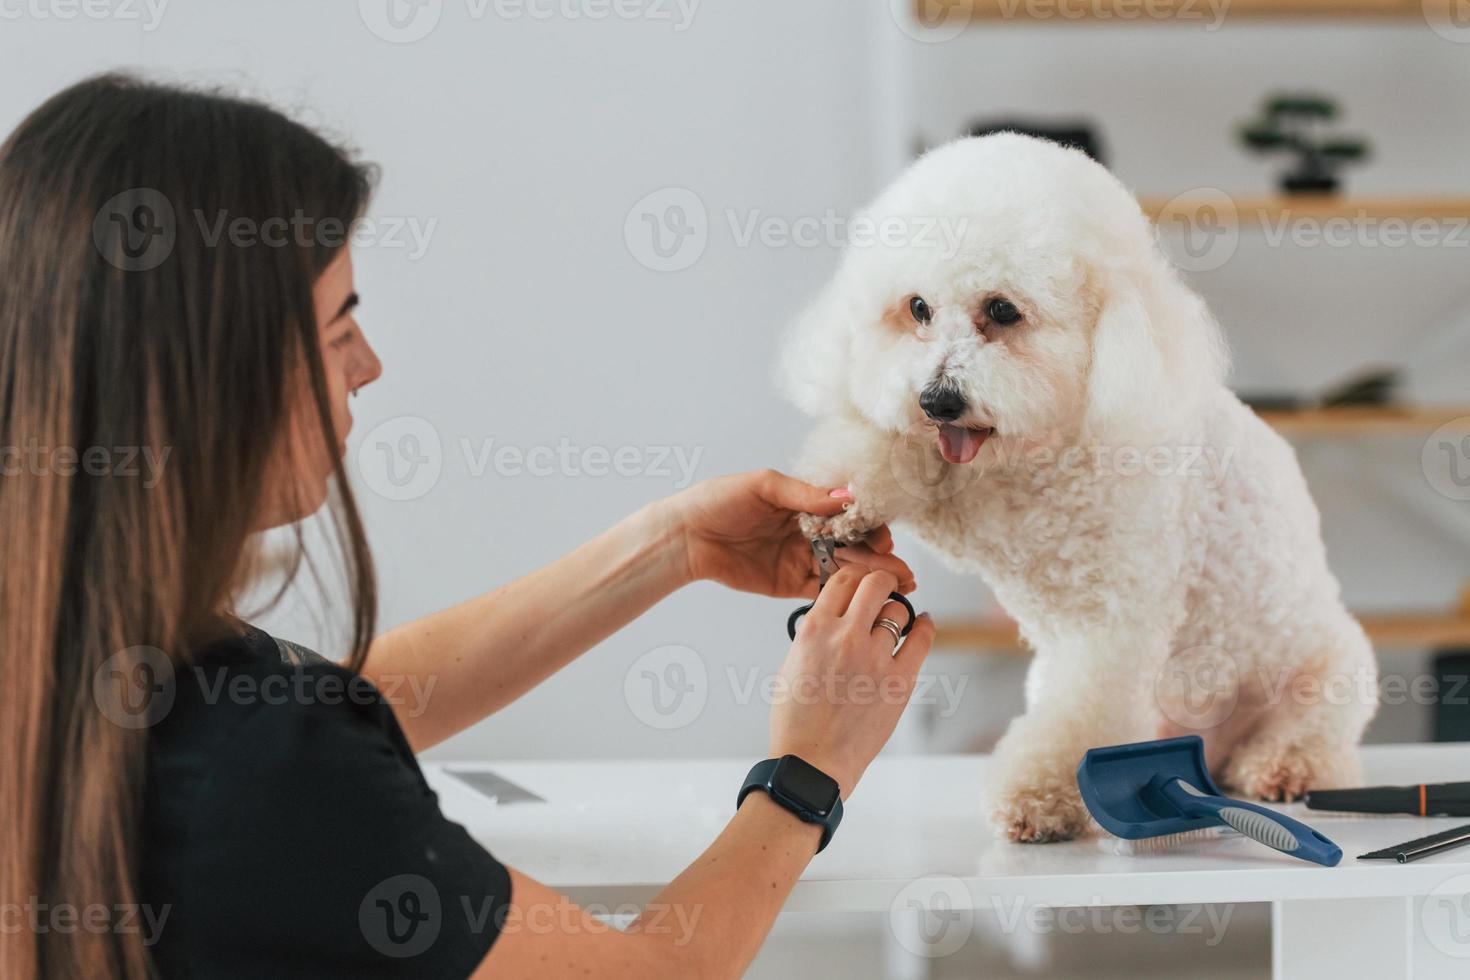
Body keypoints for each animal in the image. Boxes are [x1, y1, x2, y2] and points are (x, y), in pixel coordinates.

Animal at [782, 132, 1375, 846]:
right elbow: (891, 453)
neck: (1039, 454)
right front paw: (837, 506)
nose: (937, 400)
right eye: (918, 309)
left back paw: (1280, 768)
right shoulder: (958, 497)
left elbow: (1082, 717)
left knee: (1313, 741)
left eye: (1002, 310)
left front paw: (1041, 799)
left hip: (1327, 674)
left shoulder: (1110, 627)